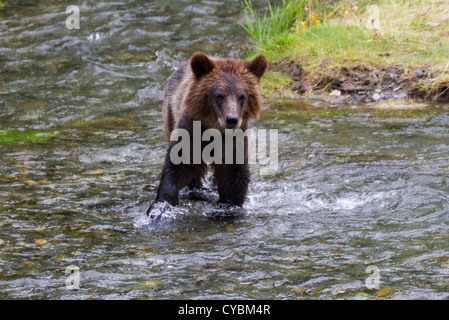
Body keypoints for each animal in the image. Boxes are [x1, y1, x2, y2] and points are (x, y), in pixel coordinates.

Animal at [147, 52, 266, 216]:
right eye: (219, 95)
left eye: (242, 96)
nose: (232, 119)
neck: (215, 128)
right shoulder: (190, 130)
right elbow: (177, 162)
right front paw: (161, 207)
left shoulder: (236, 140)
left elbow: (234, 174)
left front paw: (228, 207)